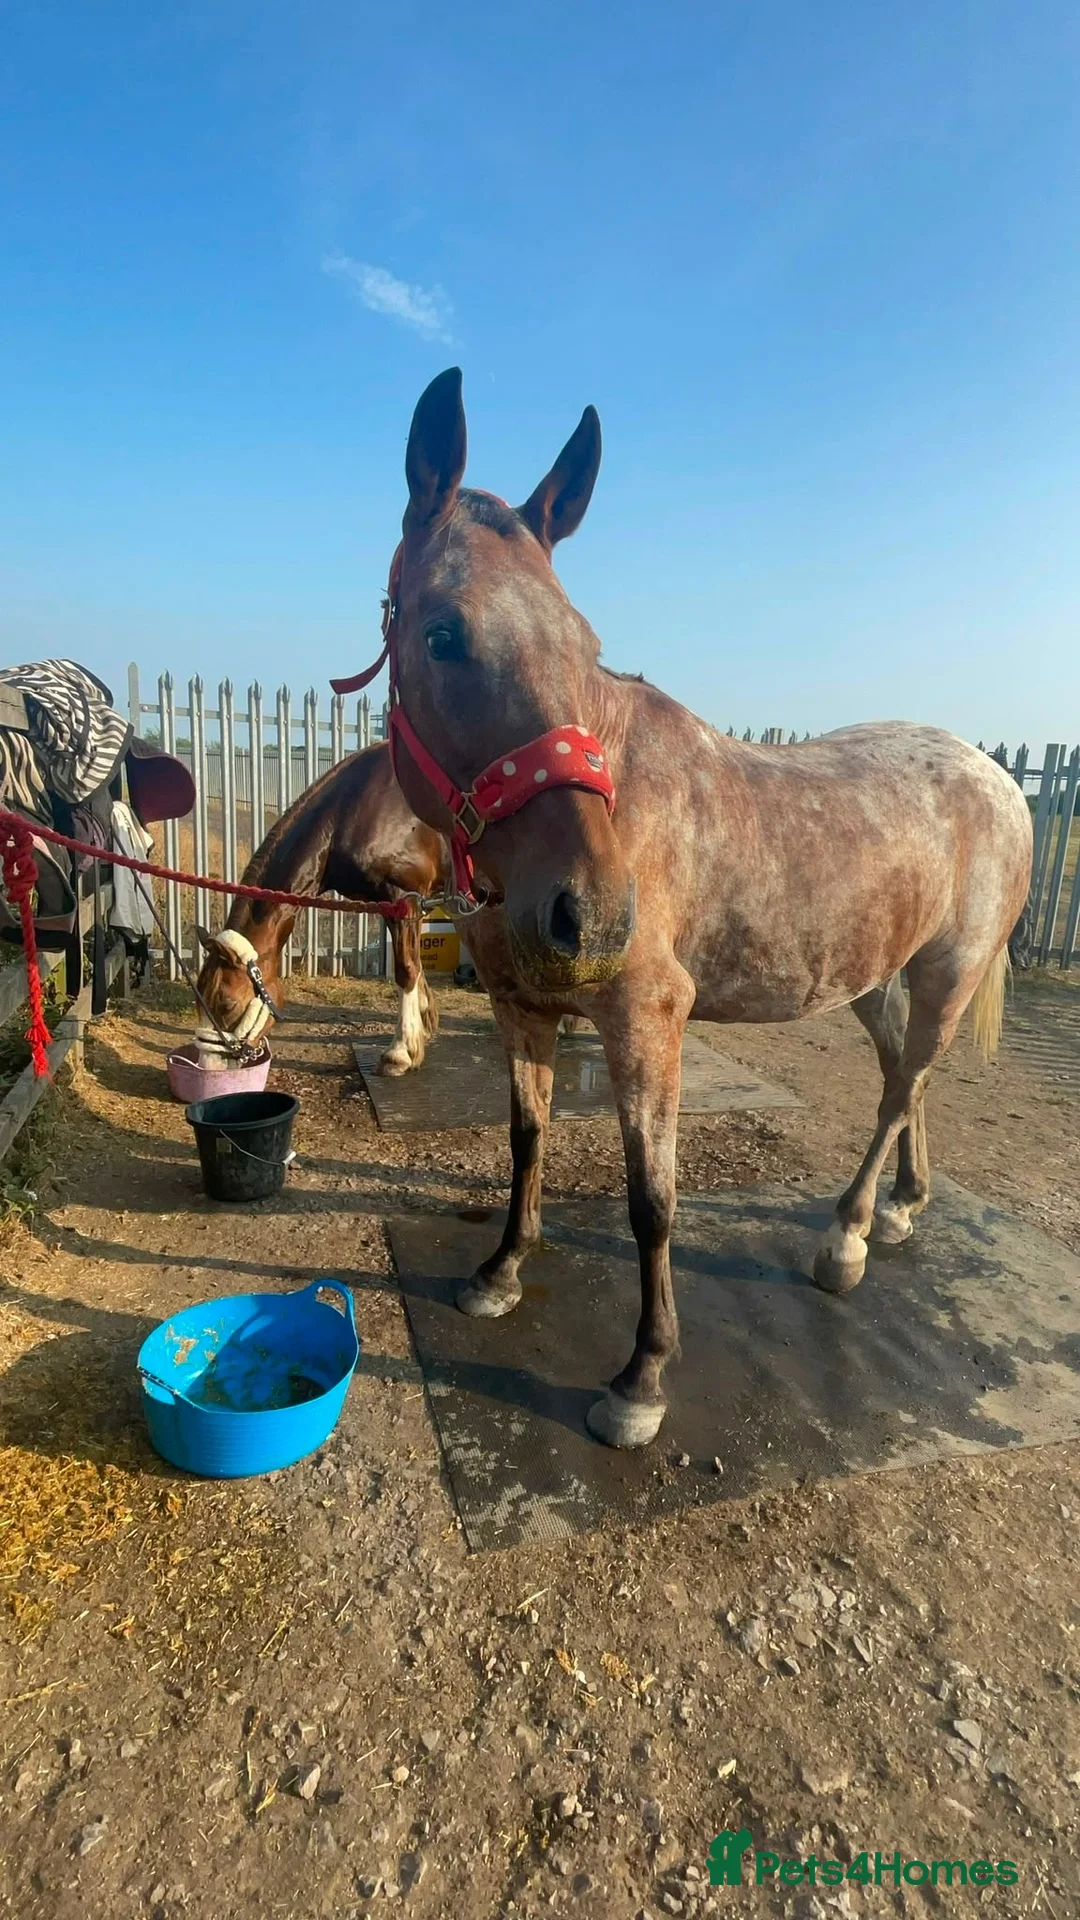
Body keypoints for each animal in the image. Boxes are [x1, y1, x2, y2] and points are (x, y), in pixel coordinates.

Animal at [194, 741, 446, 1076]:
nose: (208, 1068)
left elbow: (406, 968)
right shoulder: (394, 906)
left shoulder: (404, 896)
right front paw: (424, 1020)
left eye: (227, 1003)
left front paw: (400, 1052)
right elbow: (415, 962)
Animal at [366, 366, 1033, 1450]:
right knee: (907, 1075)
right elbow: (525, 1141)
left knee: (903, 1085)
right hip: (871, 979)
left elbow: (653, 1201)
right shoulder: (523, 1009)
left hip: (948, 973)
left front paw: (641, 1378)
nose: (592, 916)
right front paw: (501, 1273)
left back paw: (848, 1238)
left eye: (586, 647)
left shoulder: (648, 1020)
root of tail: (999, 778)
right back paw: (902, 1206)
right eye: (442, 633)